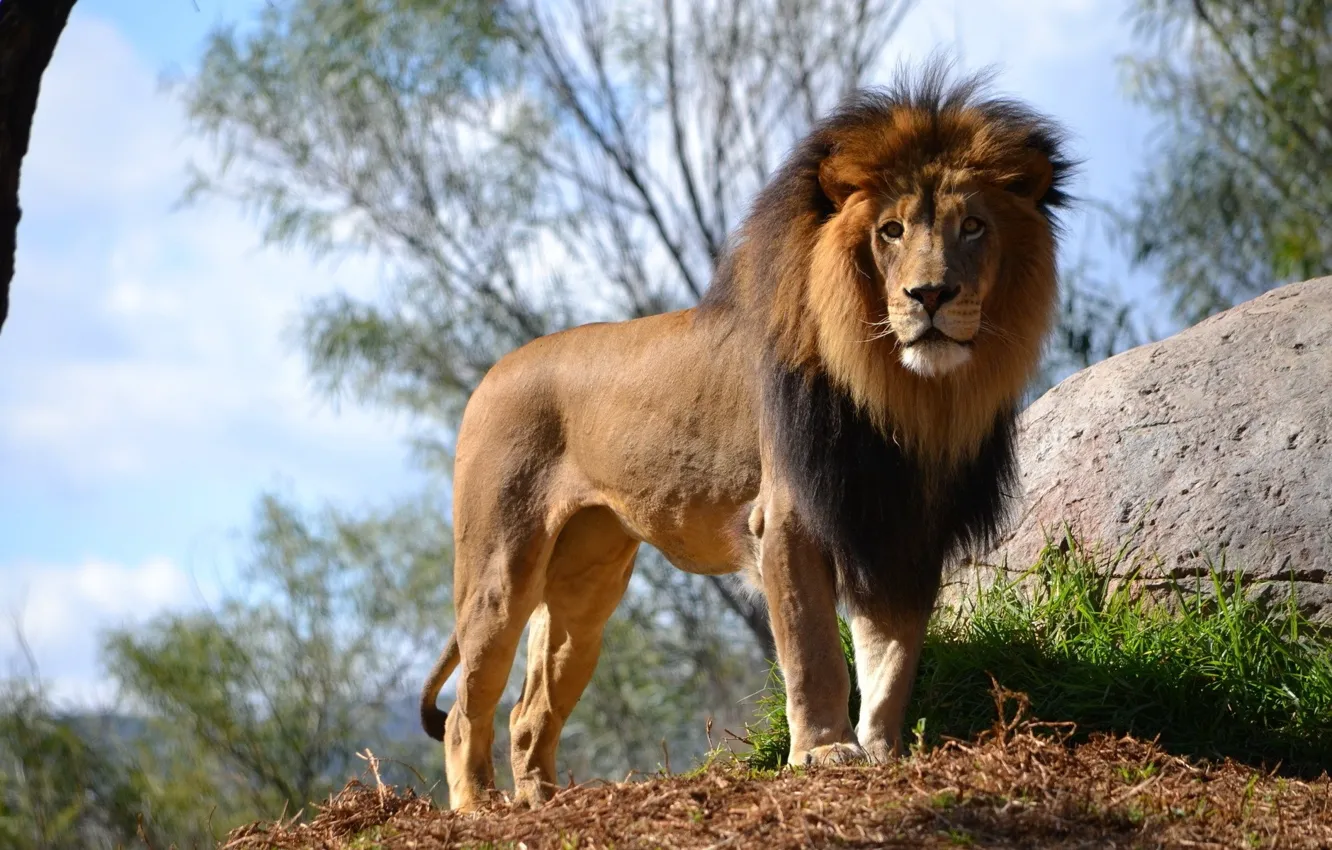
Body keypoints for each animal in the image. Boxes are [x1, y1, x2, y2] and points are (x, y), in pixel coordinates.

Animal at [420, 65, 1072, 811]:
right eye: (891, 230)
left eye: (973, 226)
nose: (930, 294)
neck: (904, 394)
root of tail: (493, 372)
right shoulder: (788, 517)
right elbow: (814, 649)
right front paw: (823, 753)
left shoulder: (902, 526)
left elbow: (892, 653)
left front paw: (884, 752)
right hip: (501, 566)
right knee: (467, 705)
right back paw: (477, 805)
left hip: (587, 580)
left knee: (530, 711)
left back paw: (543, 801)